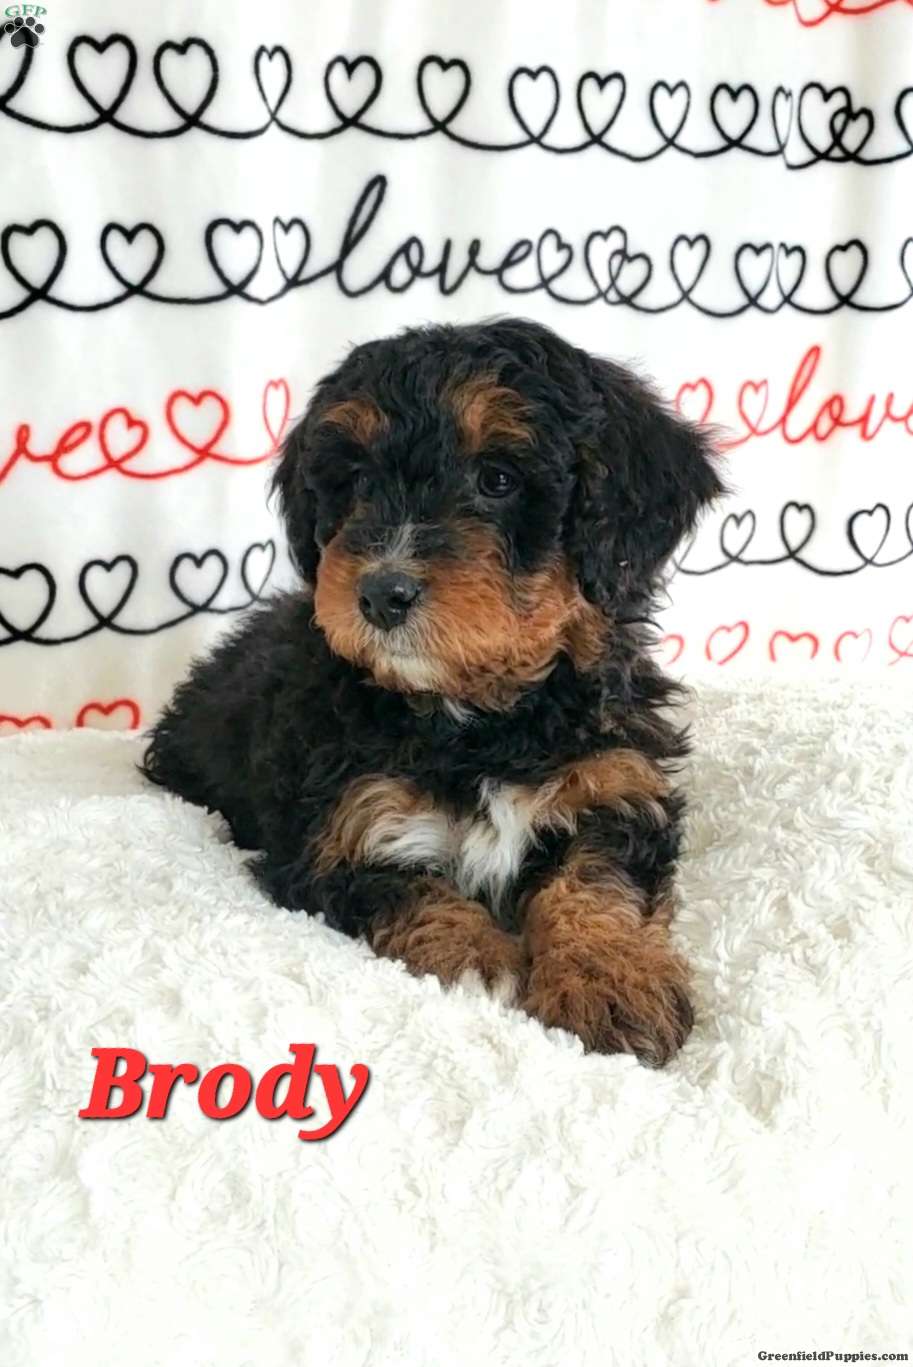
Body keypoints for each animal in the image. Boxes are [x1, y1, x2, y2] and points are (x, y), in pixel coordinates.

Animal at [141, 317, 724, 1066]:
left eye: (498, 478)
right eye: (356, 479)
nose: (380, 593)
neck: (478, 719)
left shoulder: (614, 784)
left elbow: (597, 882)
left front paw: (611, 980)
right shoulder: (340, 832)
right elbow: (411, 891)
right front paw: (480, 962)